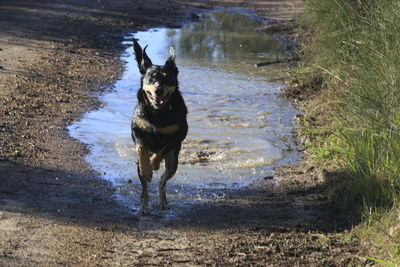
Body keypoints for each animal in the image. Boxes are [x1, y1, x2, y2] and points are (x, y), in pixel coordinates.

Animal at [131, 39, 188, 216]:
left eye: (168, 78)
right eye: (151, 77)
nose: (159, 90)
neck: (158, 112)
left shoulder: (178, 133)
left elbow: (162, 149)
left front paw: (154, 163)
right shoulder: (136, 129)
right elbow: (140, 148)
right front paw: (147, 168)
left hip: (173, 161)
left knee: (162, 182)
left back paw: (163, 201)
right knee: (145, 190)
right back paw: (143, 206)